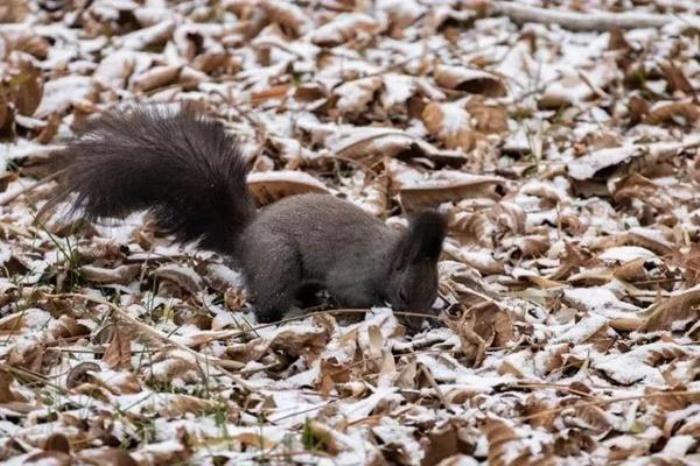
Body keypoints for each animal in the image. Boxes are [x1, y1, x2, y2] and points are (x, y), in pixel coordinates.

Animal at [42, 107, 448, 324]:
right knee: (268, 298)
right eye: (403, 293)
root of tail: (244, 237)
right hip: (279, 259)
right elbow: (353, 295)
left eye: (434, 293)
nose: (418, 326)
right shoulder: (354, 273)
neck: (388, 256)